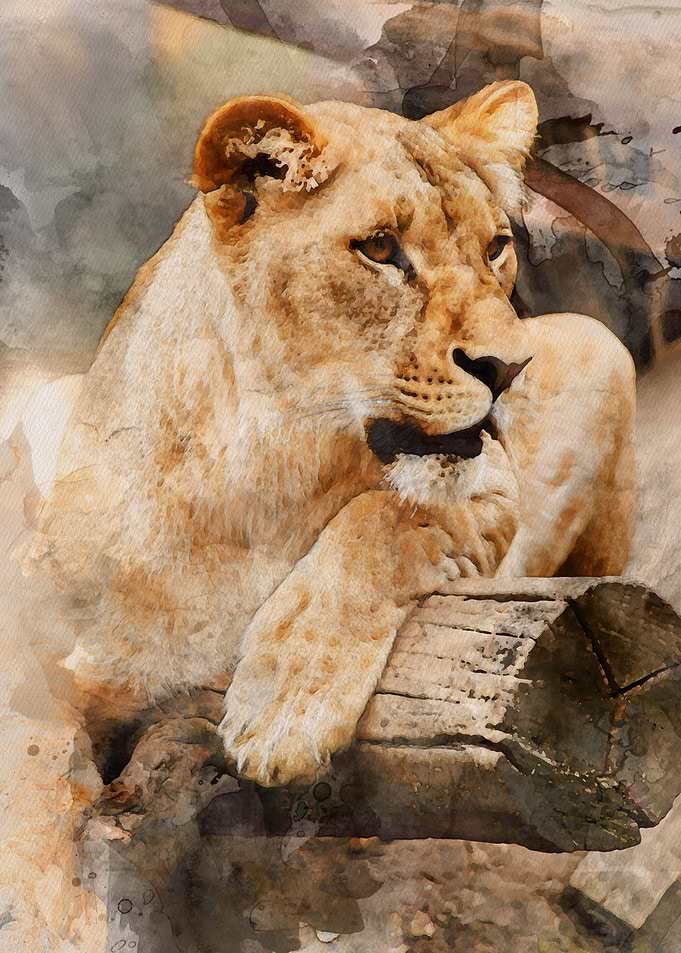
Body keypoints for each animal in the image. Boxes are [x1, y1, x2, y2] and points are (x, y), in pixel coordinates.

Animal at [13, 80, 635, 799]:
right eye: (379, 248)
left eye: (495, 248)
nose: (509, 369)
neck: (262, 478)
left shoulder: (494, 487)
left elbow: (383, 518)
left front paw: (285, 704)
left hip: (600, 345)